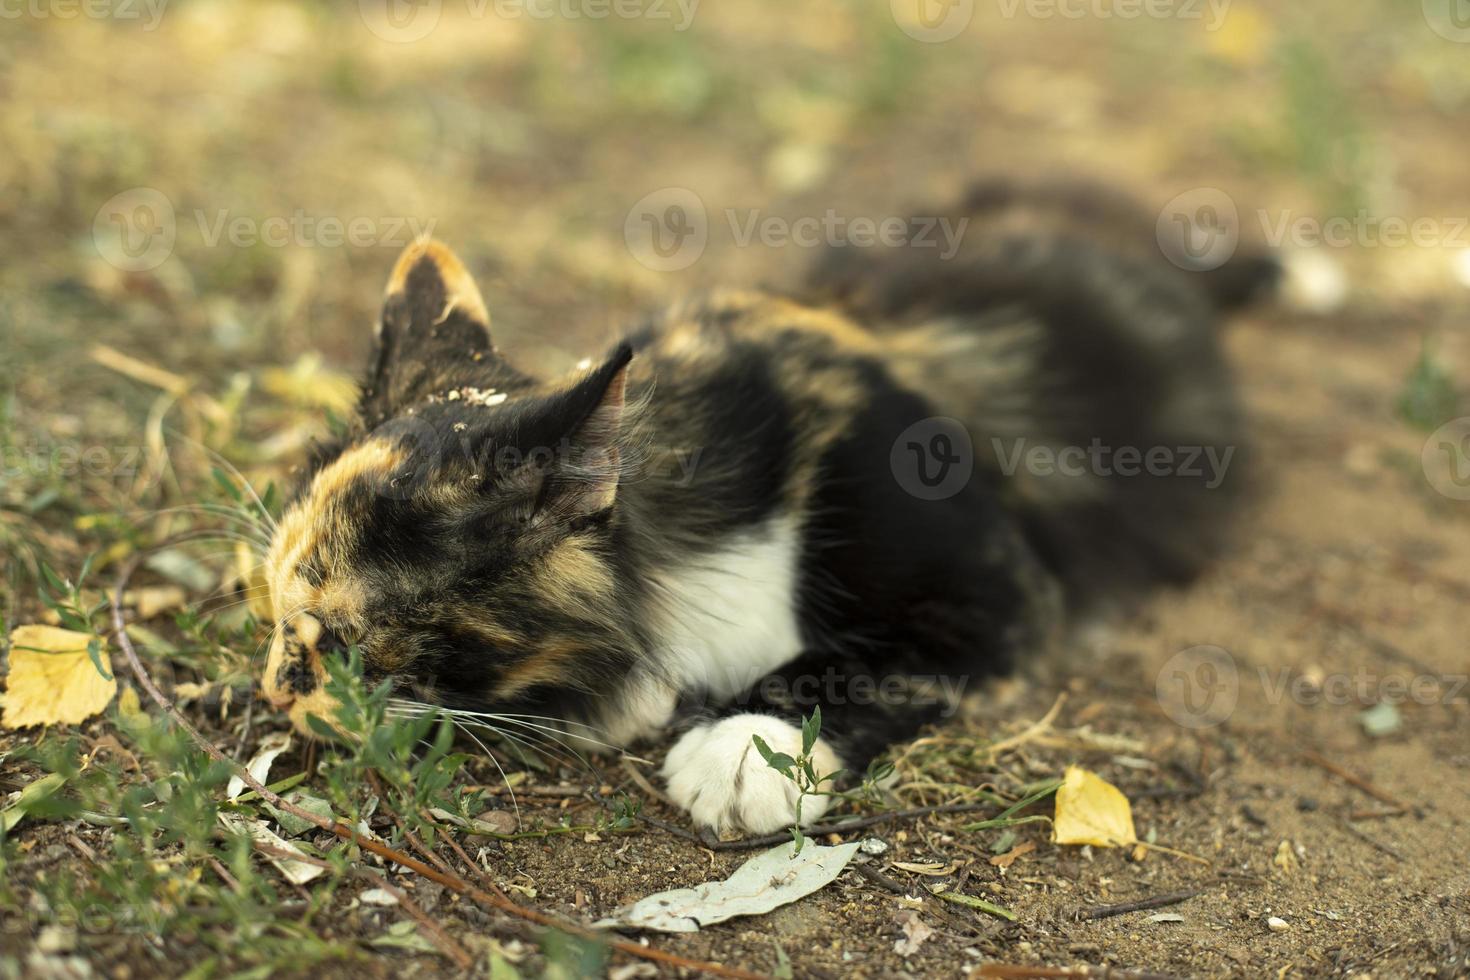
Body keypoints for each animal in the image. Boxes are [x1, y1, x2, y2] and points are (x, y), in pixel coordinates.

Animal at [258, 178, 1270, 834]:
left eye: (338, 637)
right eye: (273, 617)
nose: (273, 689)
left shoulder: (1000, 593)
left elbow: (862, 659)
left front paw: (745, 749)